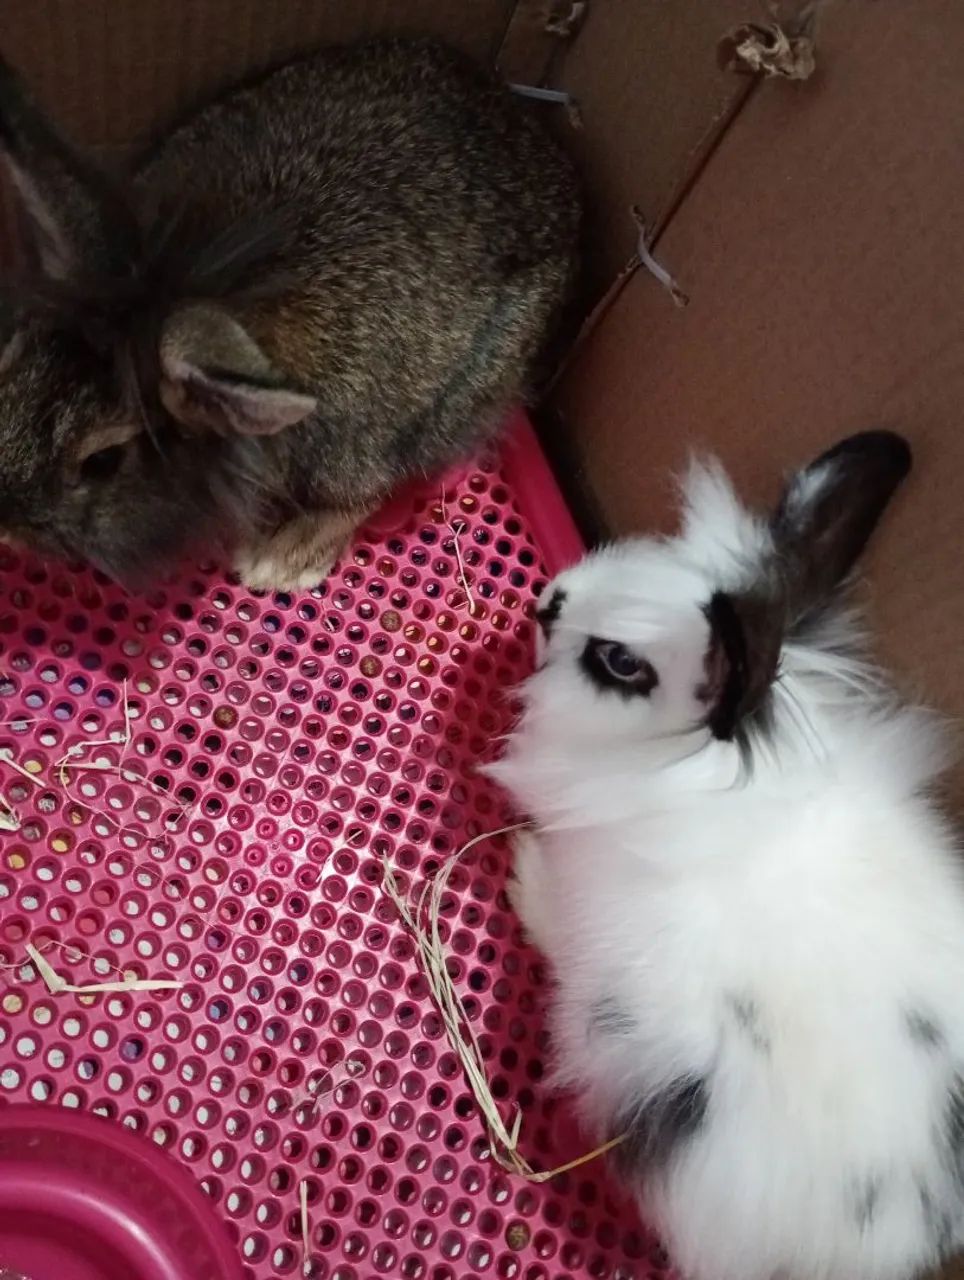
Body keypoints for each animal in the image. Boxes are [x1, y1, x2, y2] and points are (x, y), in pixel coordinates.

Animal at [0, 36, 581, 590]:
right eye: (13, 361)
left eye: (102, 462)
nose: (7, 530)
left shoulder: (359, 449)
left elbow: (357, 497)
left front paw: (276, 563)